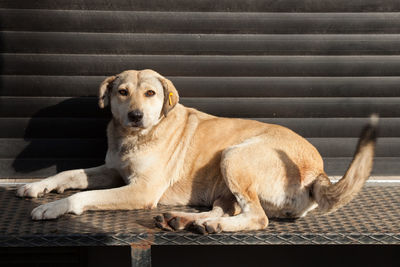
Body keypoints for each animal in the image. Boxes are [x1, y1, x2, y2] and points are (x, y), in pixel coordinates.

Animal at [16, 69, 378, 234]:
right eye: (122, 92)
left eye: (150, 93)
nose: (136, 115)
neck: (135, 137)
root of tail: (318, 171)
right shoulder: (112, 171)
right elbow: (68, 173)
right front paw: (37, 186)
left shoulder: (141, 190)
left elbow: (83, 196)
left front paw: (54, 207)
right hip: (225, 181)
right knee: (228, 210)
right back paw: (184, 220)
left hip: (234, 156)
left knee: (256, 217)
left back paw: (210, 226)